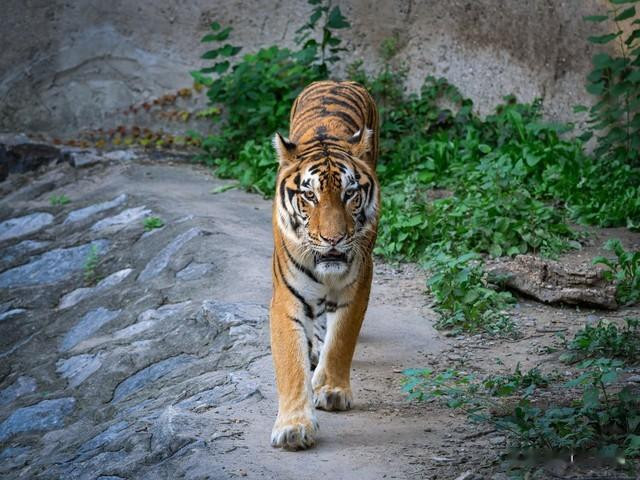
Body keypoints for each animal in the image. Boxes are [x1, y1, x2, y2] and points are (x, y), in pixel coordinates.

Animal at [269, 80, 380, 450]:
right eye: (310, 196)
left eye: (350, 194)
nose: (334, 239)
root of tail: (338, 81)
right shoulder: (286, 299)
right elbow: (291, 363)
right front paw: (293, 426)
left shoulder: (358, 283)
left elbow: (342, 338)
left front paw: (331, 389)